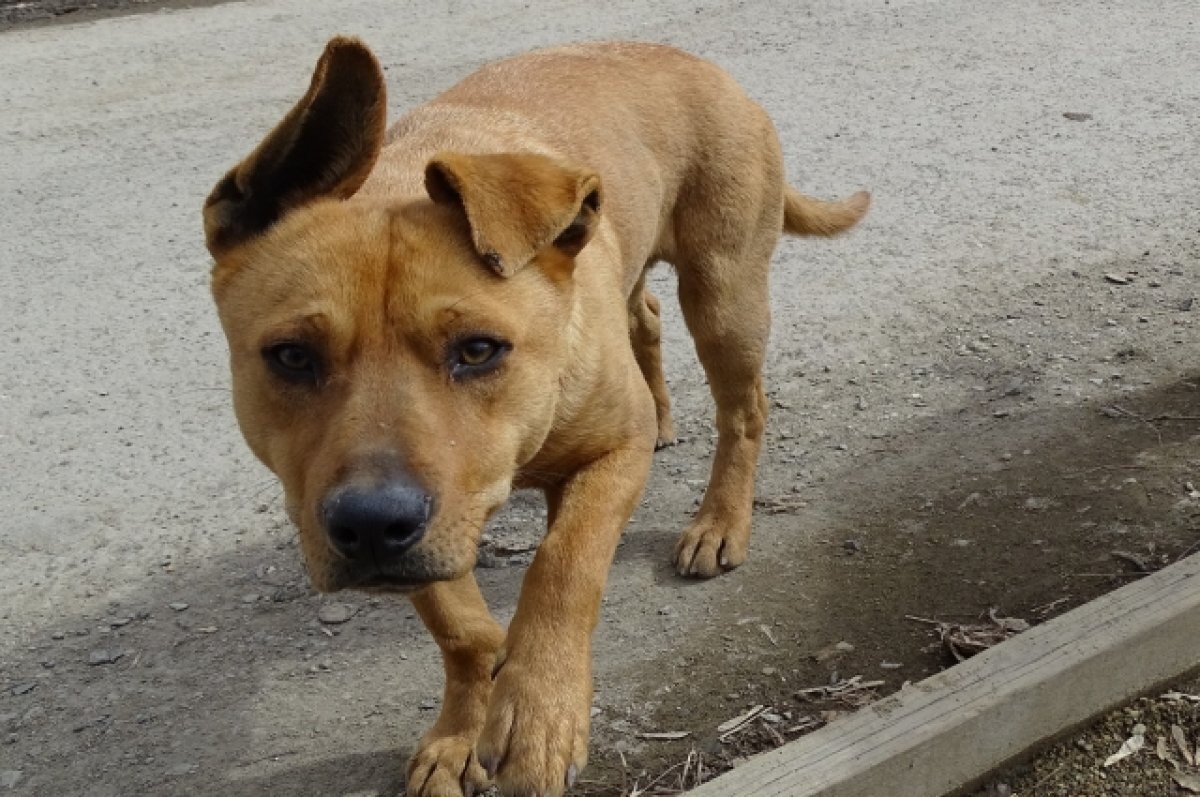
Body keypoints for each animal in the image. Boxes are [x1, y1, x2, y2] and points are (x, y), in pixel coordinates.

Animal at [201, 37, 868, 797]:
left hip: (725, 296)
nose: (370, 524)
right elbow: (461, 629)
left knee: (744, 411)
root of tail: (696, 62)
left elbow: (562, 562)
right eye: (290, 356)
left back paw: (721, 519)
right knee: (645, 315)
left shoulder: (609, 456)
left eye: (478, 349)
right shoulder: (436, 529)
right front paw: (464, 726)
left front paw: (539, 705)